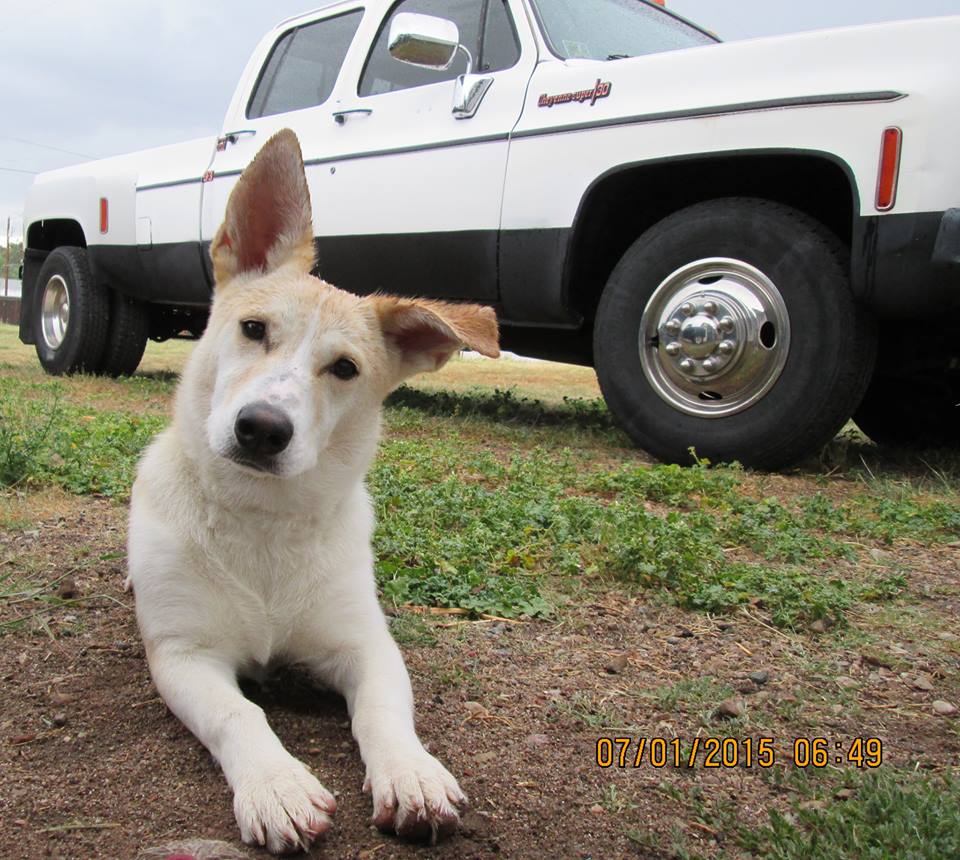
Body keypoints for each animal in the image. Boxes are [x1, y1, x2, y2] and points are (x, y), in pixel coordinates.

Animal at [127, 129, 498, 852]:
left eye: (345, 369)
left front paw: (411, 772)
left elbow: (384, 712)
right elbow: (239, 714)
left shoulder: (367, 646)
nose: (262, 429)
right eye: (253, 329)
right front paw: (277, 786)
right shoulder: (184, 656)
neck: (262, 519)